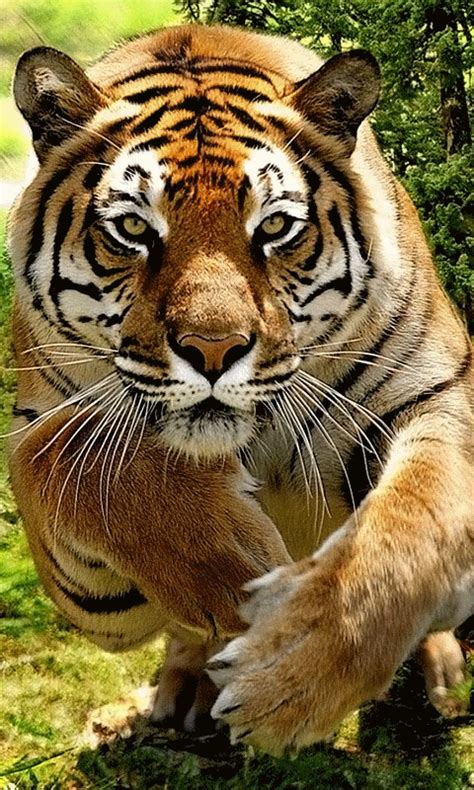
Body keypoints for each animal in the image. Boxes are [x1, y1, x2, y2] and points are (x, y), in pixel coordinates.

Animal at [7, 23, 473, 753]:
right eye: (133, 229)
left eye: (274, 227)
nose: (214, 349)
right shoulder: (48, 452)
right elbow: (69, 456)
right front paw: (239, 571)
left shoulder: (436, 395)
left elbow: (411, 525)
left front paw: (291, 673)